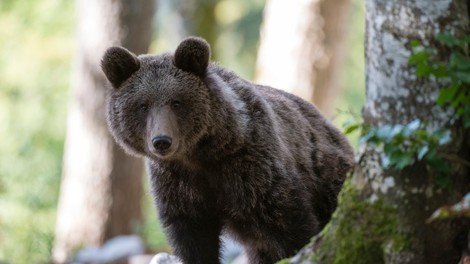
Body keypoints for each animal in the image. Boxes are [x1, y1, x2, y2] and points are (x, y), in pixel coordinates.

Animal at [101, 35, 354, 264]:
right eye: (143, 105)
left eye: (176, 102)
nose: (162, 141)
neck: (199, 155)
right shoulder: (177, 184)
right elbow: (194, 237)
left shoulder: (250, 166)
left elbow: (290, 224)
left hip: (328, 176)